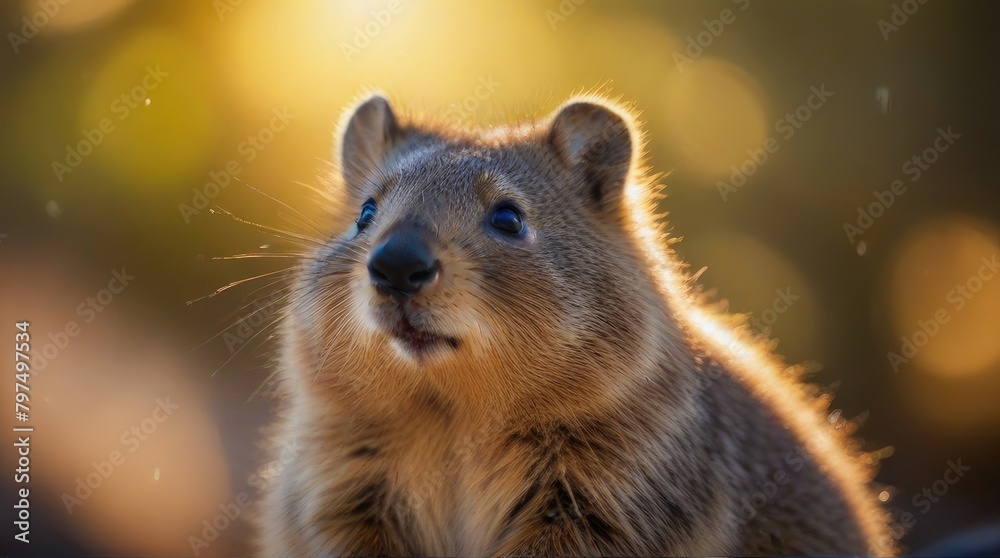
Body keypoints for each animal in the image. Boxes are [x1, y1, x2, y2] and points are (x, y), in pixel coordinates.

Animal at [256, 93, 894, 556]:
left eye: (509, 218)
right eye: (364, 213)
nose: (395, 265)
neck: (454, 421)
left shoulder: (610, 502)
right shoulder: (340, 493)